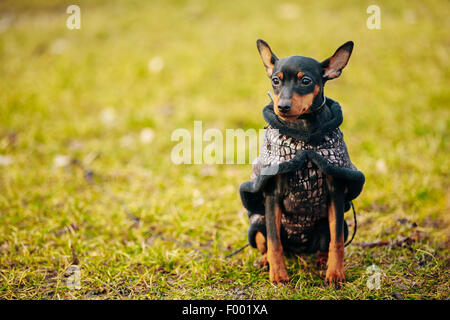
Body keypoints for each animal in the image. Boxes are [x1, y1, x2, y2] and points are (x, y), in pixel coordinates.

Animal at [239, 38, 366, 286]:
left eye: (305, 81)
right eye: (275, 80)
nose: (282, 106)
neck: (303, 133)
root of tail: (299, 250)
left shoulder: (335, 194)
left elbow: (337, 242)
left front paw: (335, 274)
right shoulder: (272, 196)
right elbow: (274, 242)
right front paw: (279, 276)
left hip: (333, 225)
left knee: (328, 241)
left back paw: (322, 261)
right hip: (258, 223)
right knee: (266, 241)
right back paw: (265, 262)